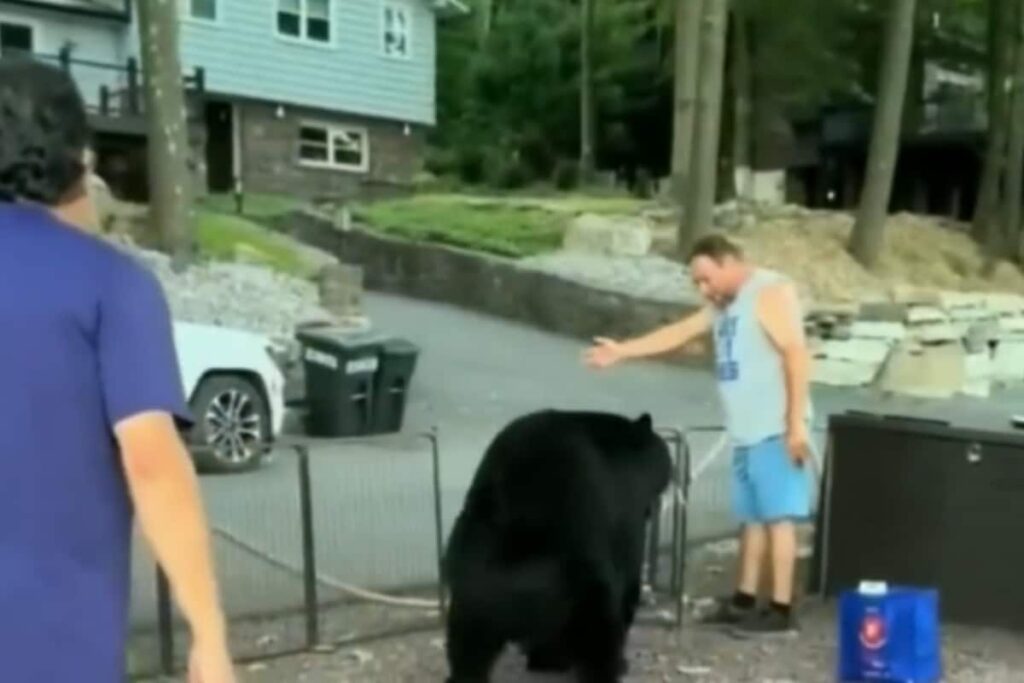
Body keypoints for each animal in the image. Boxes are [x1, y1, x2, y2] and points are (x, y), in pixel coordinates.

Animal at [442, 409, 673, 682]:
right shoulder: (626, 516)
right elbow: (628, 580)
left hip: (470, 582)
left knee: (466, 646)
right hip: (581, 572)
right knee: (599, 628)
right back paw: (601, 668)